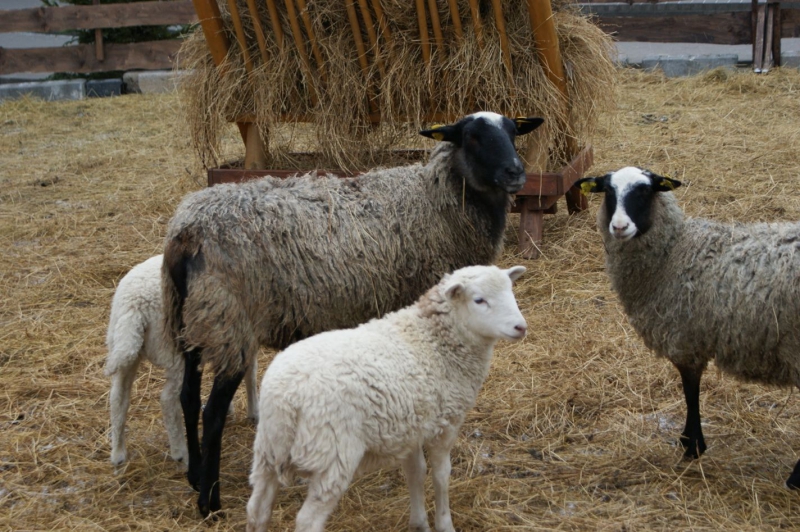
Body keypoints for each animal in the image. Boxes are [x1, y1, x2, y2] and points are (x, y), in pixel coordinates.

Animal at [104, 256, 258, 468]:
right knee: (168, 400)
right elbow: (251, 373)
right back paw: (181, 454)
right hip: (176, 353)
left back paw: (118, 454)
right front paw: (254, 411)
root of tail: (135, 304)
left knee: (118, 397)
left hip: (122, 345)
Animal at [247, 264, 528, 532]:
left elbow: (416, 473)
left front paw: (419, 523)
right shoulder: (446, 424)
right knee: (307, 521)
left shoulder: (413, 427)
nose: (520, 327)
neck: (435, 341)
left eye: (510, 290)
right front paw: (444, 524)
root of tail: (285, 398)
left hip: (267, 452)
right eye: (479, 300)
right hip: (333, 456)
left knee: (257, 509)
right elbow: (441, 476)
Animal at [580, 168, 800, 488]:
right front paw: (691, 443)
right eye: (608, 191)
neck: (675, 251)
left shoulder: (685, 335)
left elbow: (690, 390)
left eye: (644, 191)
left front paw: (692, 445)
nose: (619, 226)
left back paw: (795, 478)